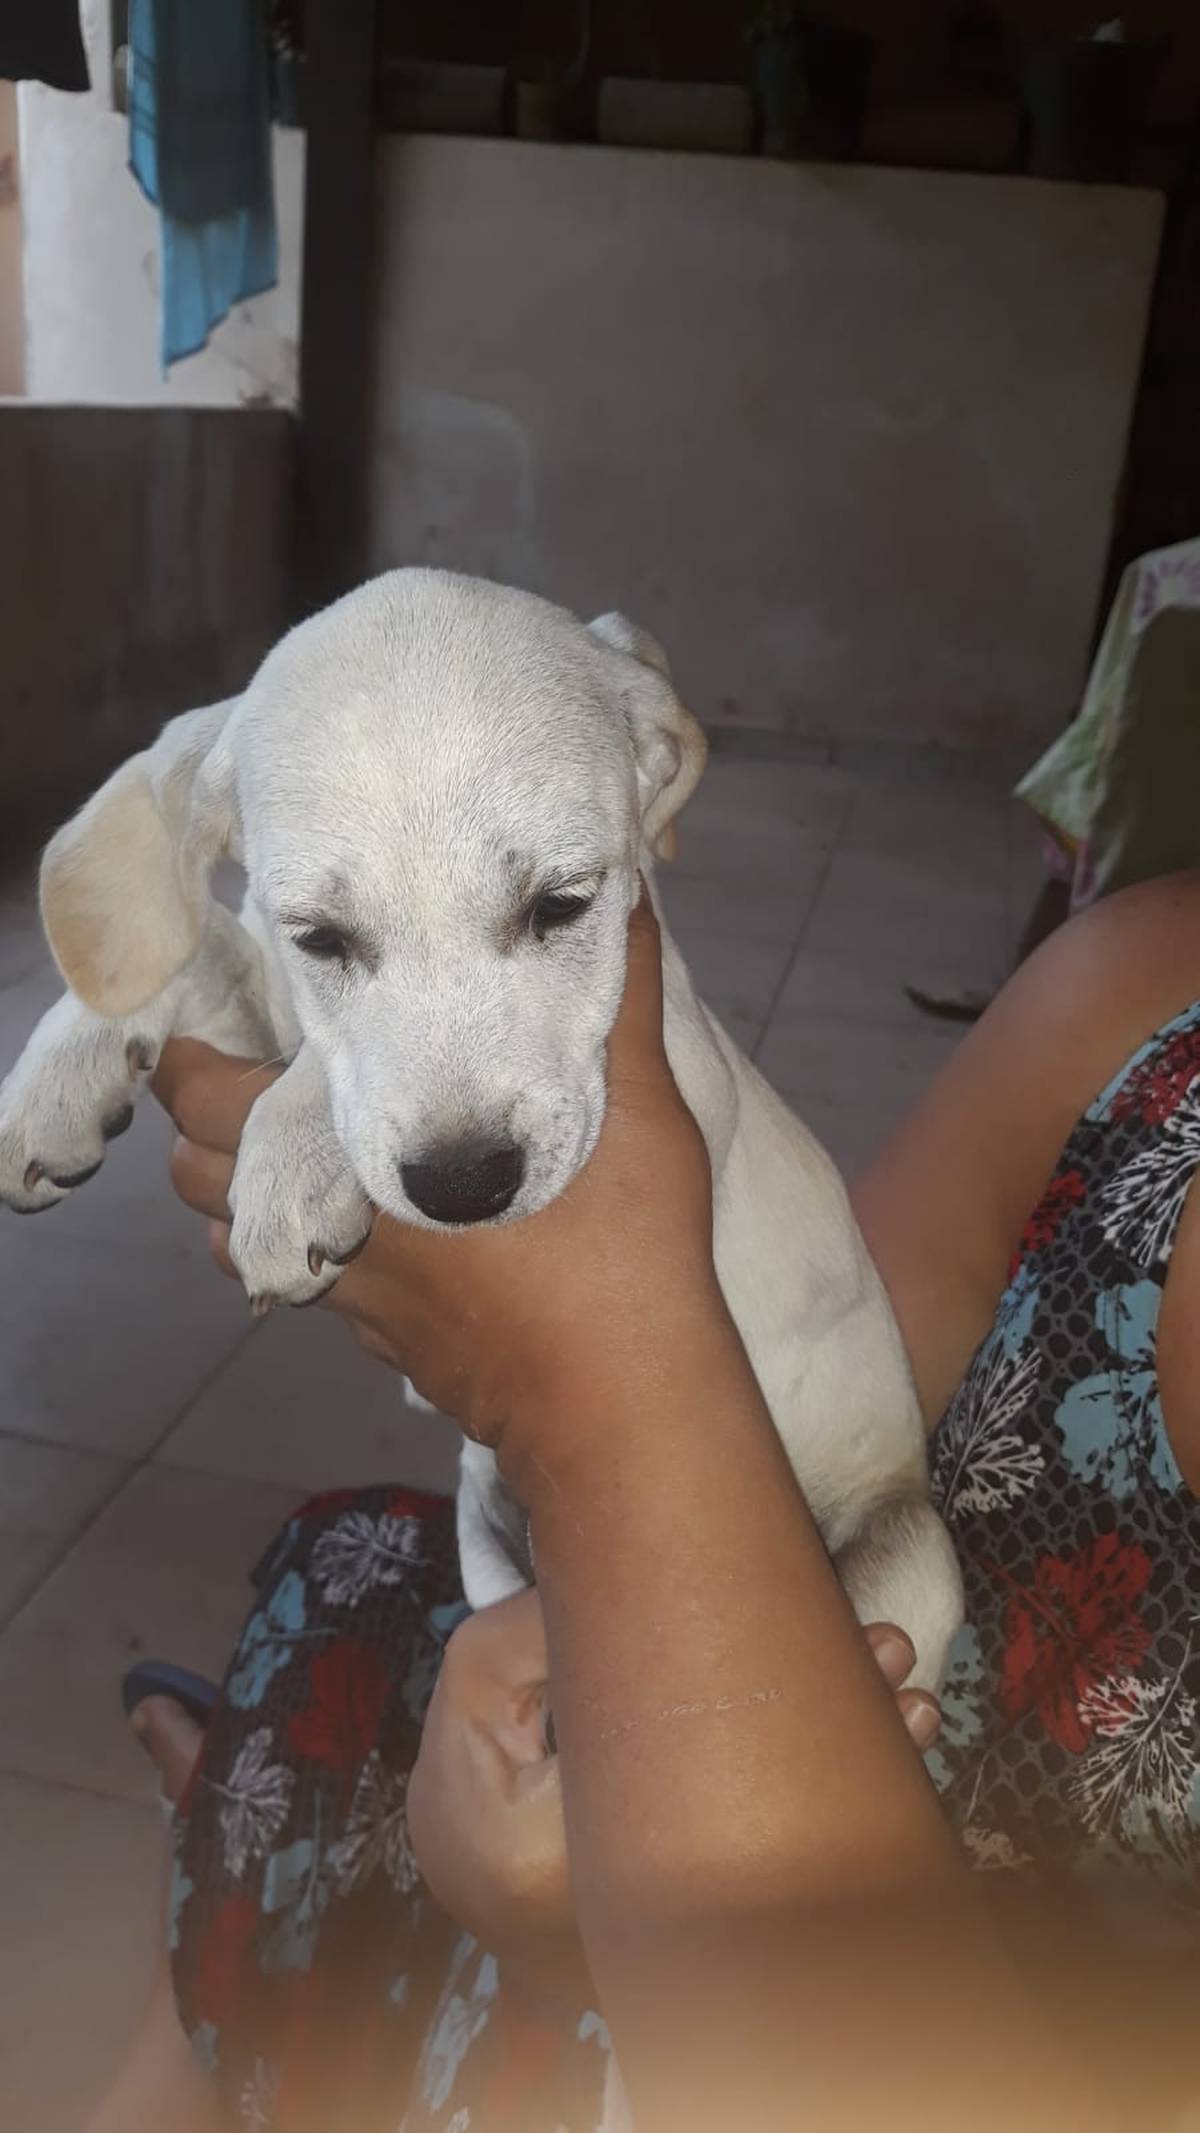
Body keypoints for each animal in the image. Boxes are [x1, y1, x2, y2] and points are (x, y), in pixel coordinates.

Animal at [0, 570, 962, 1686]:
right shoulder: (268, 1009)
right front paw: (56, 1080)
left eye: (562, 905)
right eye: (319, 938)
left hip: (909, 1563)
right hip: (482, 1540)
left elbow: (310, 1069)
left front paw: (292, 1157)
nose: (464, 1186)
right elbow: (209, 954)